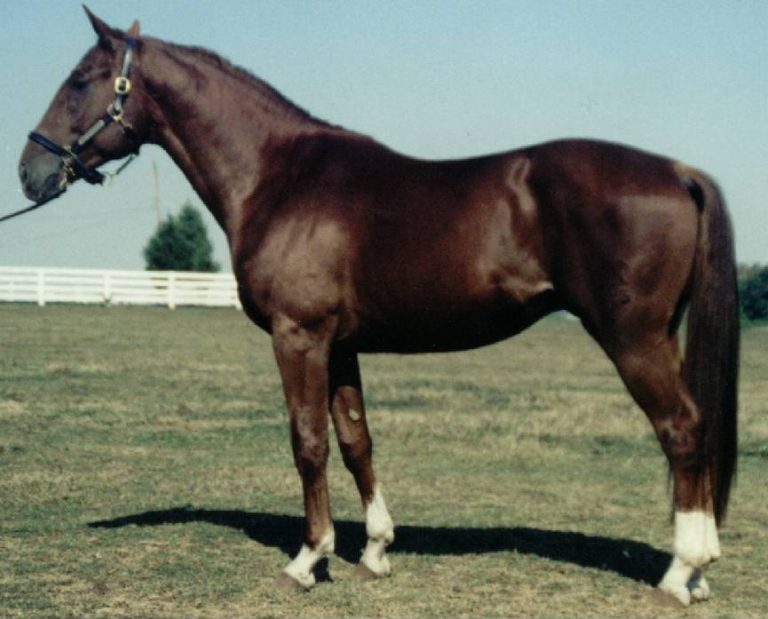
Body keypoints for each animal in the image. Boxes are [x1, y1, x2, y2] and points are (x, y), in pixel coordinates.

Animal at [18, 9, 738, 606]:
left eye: (81, 81)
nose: (30, 171)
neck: (280, 178)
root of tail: (678, 171)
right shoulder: (341, 344)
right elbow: (355, 440)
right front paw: (374, 550)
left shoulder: (298, 336)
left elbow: (307, 440)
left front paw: (308, 558)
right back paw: (697, 572)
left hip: (634, 339)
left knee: (682, 428)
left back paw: (683, 571)